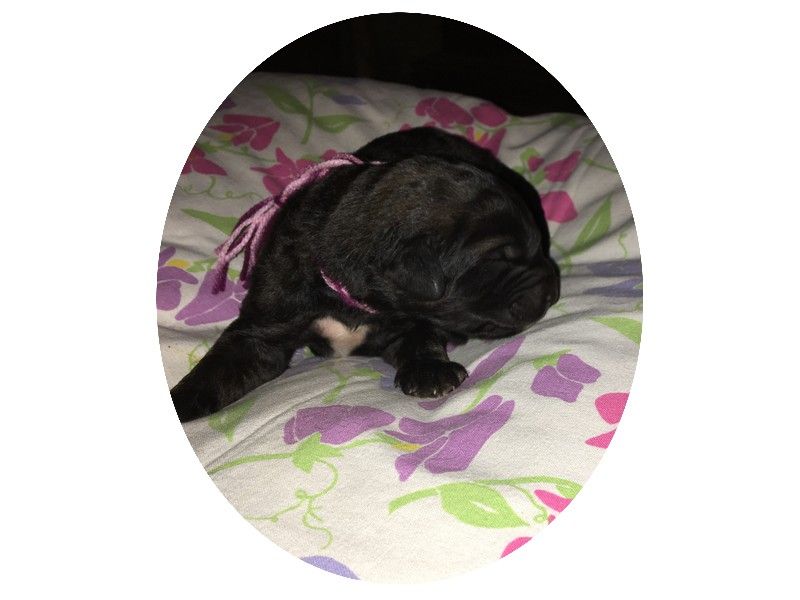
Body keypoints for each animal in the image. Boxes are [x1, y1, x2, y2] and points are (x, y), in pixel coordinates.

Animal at [171, 127, 560, 422]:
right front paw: (181, 401)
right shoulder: (267, 321)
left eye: (536, 245)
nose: (552, 292)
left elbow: (421, 336)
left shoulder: (410, 317)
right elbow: (219, 366)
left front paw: (431, 371)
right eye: (497, 260)